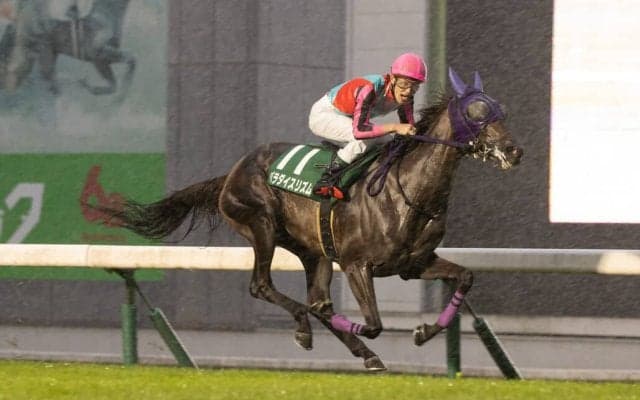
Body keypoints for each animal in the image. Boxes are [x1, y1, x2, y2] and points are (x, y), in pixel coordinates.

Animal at [2, 0, 134, 100]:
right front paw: (120, 97)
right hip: (35, 51)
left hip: (47, 52)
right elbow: (131, 60)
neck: (106, 12)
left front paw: (90, 87)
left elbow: (114, 84)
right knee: (19, 69)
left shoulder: (103, 59)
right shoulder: (98, 57)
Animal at [97, 68, 523, 371]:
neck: (409, 191)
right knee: (267, 288)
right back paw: (307, 328)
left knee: (316, 300)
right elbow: (373, 323)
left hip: (313, 251)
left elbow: (465, 278)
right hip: (262, 225)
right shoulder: (356, 263)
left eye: (501, 110)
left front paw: (422, 331)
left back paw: (363, 353)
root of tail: (232, 171)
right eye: (477, 112)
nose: (513, 151)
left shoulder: (414, 264)